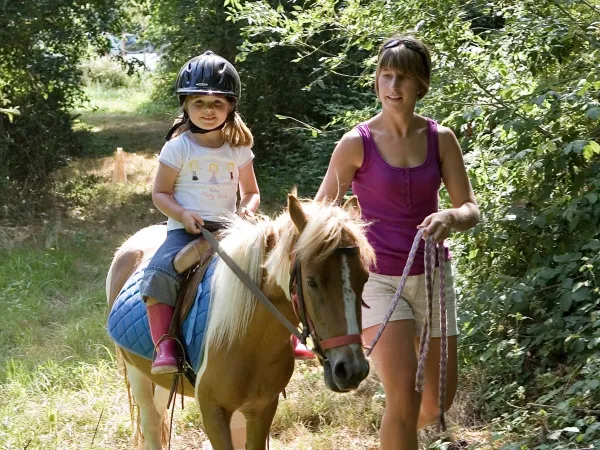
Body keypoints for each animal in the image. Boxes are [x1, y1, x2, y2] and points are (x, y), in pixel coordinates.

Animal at [103, 194, 376, 450]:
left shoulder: (262, 407)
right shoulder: (212, 411)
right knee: (150, 425)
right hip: (137, 374)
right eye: (311, 281)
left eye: (364, 278)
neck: (249, 338)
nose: (352, 369)